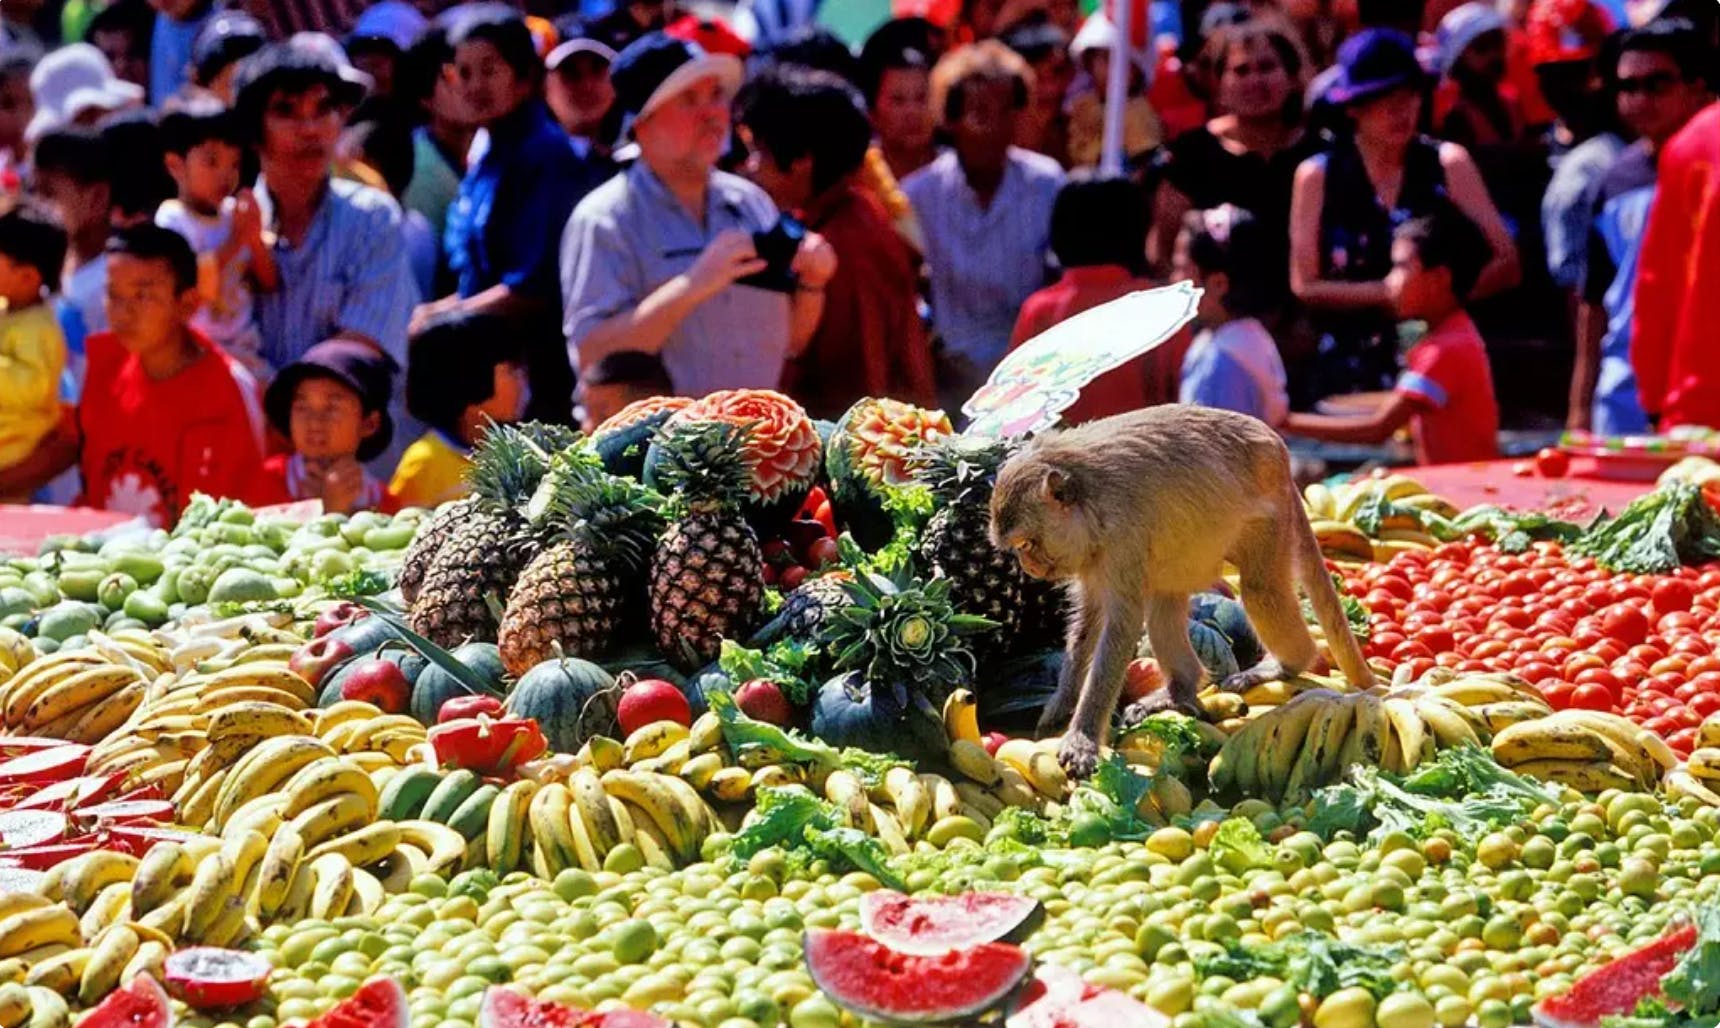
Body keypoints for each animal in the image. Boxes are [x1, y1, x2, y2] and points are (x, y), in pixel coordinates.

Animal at [990, 407, 1376, 777]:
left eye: (1026, 544)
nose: (1028, 567)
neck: (1090, 498)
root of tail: (1277, 451)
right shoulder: (1093, 554)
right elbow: (1091, 617)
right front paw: (1063, 706)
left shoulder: (1122, 537)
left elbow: (1121, 625)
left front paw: (1083, 736)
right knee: (1165, 601)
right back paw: (1180, 689)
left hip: (1269, 520)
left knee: (1260, 590)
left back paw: (1286, 663)